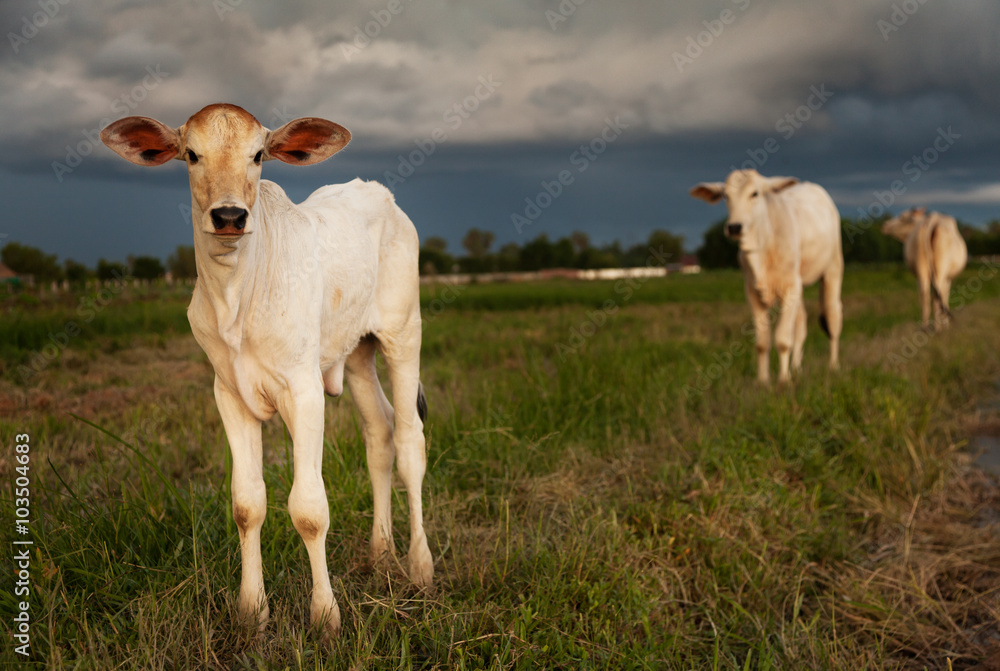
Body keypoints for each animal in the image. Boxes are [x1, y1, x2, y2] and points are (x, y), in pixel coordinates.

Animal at [100, 104, 434, 639]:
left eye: (258, 155)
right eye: (191, 155)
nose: (229, 216)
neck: (236, 294)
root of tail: (382, 196)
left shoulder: (304, 391)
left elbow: (309, 510)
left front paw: (325, 616)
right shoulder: (229, 395)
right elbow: (247, 505)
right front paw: (251, 609)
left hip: (403, 334)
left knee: (409, 441)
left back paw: (420, 566)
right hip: (357, 354)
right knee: (379, 435)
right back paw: (380, 552)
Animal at [690, 169, 843, 385]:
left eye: (755, 193)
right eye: (725, 196)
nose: (735, 227)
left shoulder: (790, 287)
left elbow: (782, 338)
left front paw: (783, 380)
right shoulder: (753, 291)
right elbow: (762, 342)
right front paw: (762, 380)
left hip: (832, 269)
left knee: (833, 317)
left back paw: (833, 366)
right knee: (801, 323)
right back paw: (796, 368)